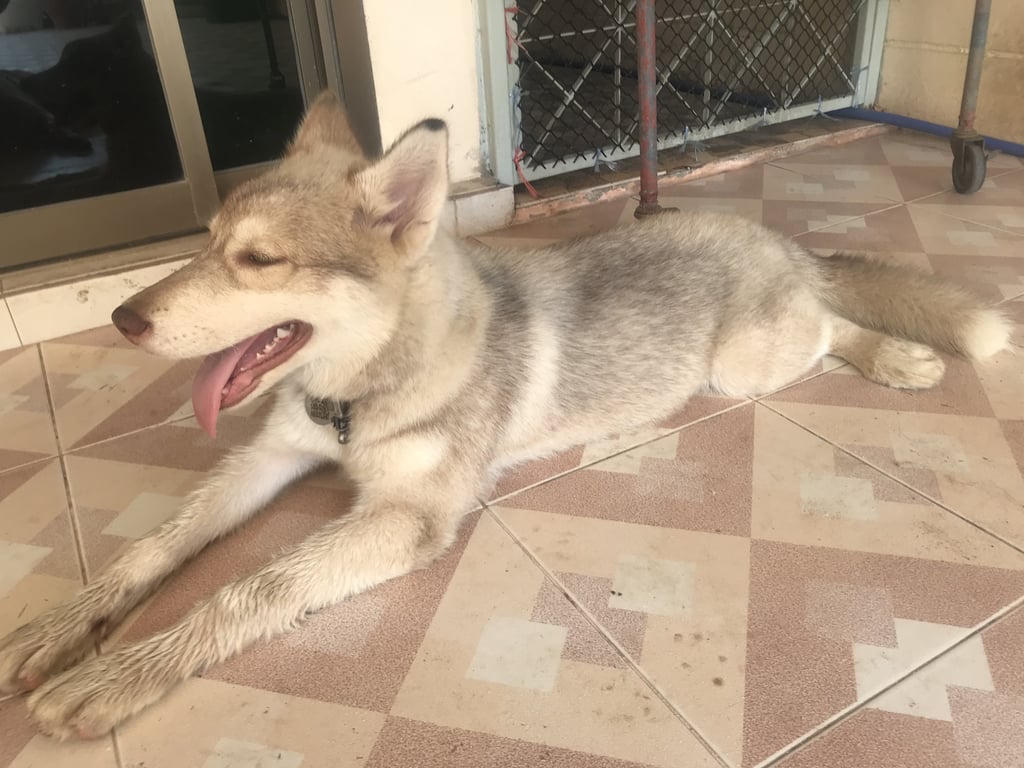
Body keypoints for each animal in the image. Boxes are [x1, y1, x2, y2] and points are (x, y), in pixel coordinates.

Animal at [0, 91, 1009, 740]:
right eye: (207, 243)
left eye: (258, 260)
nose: (124, 319)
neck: (358, 393)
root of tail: (774, 236)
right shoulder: (269, 458)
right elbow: (156, 545)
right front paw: (64, 628)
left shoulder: (405, 519)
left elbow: (250, 588)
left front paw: (120, 673)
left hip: (745, 366)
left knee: (835, 322)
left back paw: (896, 356)